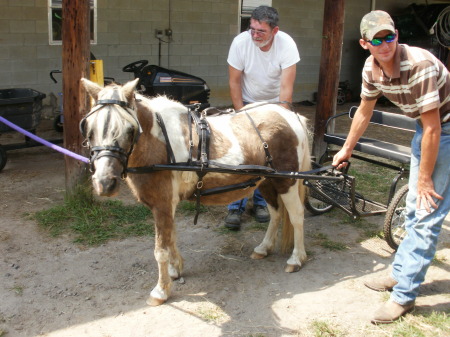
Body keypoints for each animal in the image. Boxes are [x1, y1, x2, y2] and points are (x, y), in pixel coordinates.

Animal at [81, 78, 312, 304]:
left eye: (130, 130)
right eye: (89, 130)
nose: (105, 183)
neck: (160, 142)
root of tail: (291, 116)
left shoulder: (162, 204)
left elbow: (160, 250)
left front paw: (161, 290)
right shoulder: (167, 204)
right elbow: (171, 237)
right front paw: (175, 270)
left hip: (287, 181)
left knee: (296, 216)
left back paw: (296, 259)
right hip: (266, 181)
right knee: (276, 214)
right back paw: (264, 248)